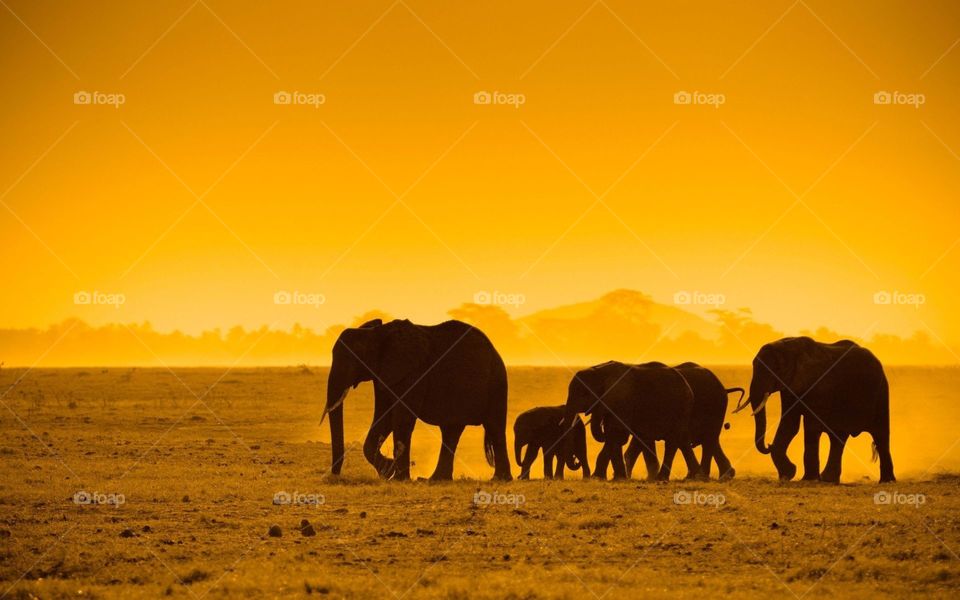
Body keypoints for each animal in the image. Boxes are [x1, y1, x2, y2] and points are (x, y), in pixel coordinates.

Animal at [322, 318, 512, 481]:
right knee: (451, 431)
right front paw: (387, 470)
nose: (334, 476)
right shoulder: (384, 374)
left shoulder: (412, 373)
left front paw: (397, 478)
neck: (377, 334)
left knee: (494, 426)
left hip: (496, 383)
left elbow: (401, 418)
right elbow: (385, 417)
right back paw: (435, 480)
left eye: (353, 358)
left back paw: (499, 479)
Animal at [562, 361, 699, 480]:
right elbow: (614, 434)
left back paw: (661, 478)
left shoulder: (621, 399)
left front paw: (598, 477)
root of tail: (688, 387)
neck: (600, 371)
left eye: (583, 394)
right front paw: (617, 478)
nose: (575, 460)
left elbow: (616, 433)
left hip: (680, 408)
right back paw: (693, 476)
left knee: (671, 442)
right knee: (678, 440)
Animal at [739, 336, 894, 483]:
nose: (768, 445)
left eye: (776, 369)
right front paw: (788, 474)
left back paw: (886, 481)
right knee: (838, 438)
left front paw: (808, 479)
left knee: (881, 435)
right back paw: (828, 479)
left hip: (881, 393)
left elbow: (811, 427)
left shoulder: (819, 387)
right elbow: (789, 425)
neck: (790, 347)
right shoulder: (790, 387)